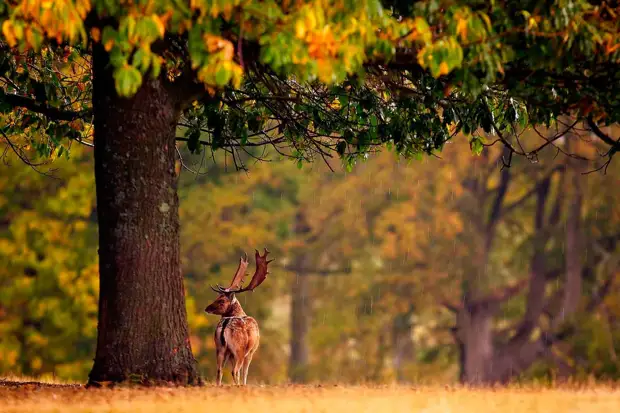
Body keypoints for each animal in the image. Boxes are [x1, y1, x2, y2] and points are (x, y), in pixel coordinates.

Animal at [205, 246, 272, 384]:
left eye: (221, 300)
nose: (206, 308)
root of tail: (225, 326)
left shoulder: (230, 354)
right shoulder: (251, 351)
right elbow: (244, 372)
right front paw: (244, 384)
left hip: (220, 348)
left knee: (219, 371)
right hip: (239, 350)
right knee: (235, 371)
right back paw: (238, 386)